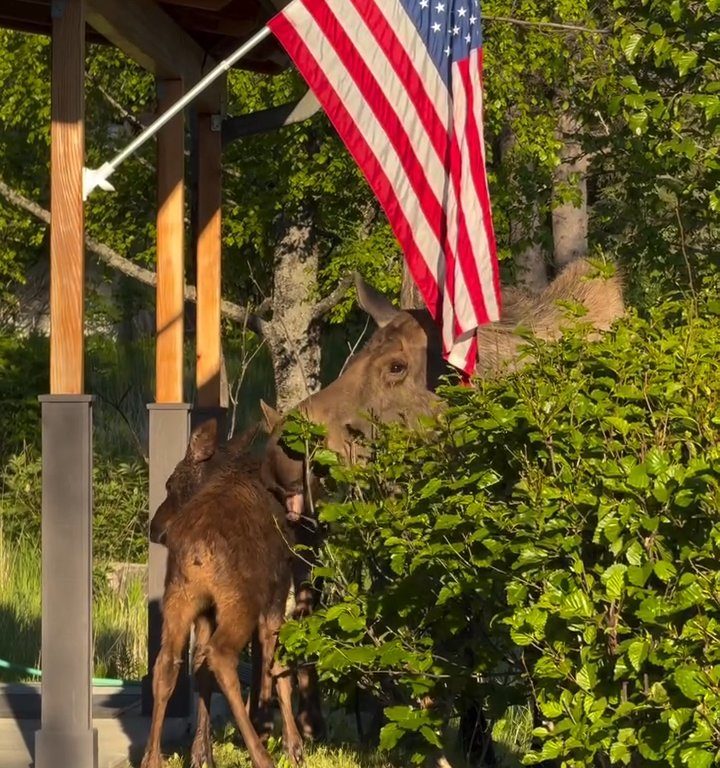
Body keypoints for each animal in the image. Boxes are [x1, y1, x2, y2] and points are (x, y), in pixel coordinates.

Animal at [142, 420, 302, 768]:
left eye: (169, 483)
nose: (154, 527)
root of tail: (198, 549)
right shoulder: (278, 591)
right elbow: (278, 666)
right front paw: (293, 746)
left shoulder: (205, 613)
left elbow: (201, 671)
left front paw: (202, 753)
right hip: (240, 602)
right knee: (222, 655)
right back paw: (261, 755)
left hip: (179, 598)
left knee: (167, 663)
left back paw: (152, 757)